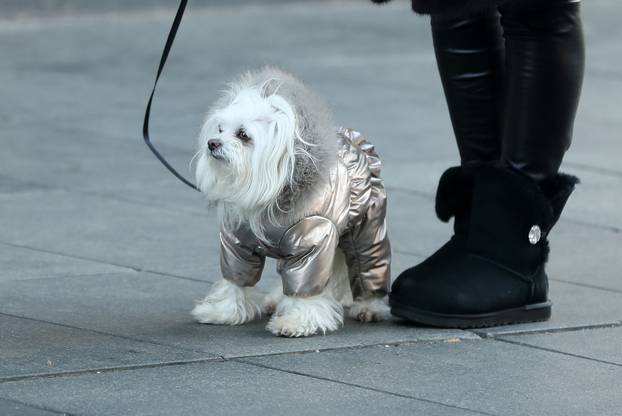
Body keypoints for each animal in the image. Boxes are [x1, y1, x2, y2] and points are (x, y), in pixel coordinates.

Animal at [193, 66, 392, 336]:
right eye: (220, 129)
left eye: (243, 135)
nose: (212, 143)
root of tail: (354, 141)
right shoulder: (237, 244)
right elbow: (236, 279)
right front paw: (222, 311)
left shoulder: (313, 242)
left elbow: (305, 287)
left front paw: (296, 321)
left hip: (367, 227)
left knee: (368, 265)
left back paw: (369, 307)